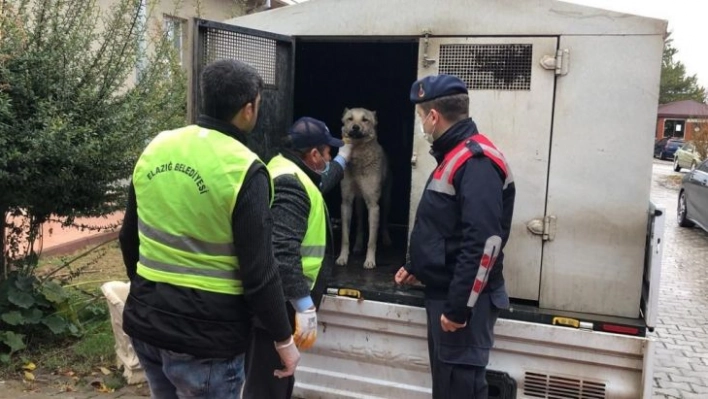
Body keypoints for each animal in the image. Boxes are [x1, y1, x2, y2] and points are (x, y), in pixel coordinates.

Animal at [334, 107, 390, 268]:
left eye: (365, 120)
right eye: (350, 119)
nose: (355, 127)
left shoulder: (373, 205)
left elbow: (372, 240)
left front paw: (370, 260)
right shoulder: (346, 203)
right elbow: (345, 237)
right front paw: (343, 257)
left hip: (385, 199)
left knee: (384, 221)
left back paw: (386, 239)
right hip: (358, 203)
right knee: (359, 225)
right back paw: (358, 246)